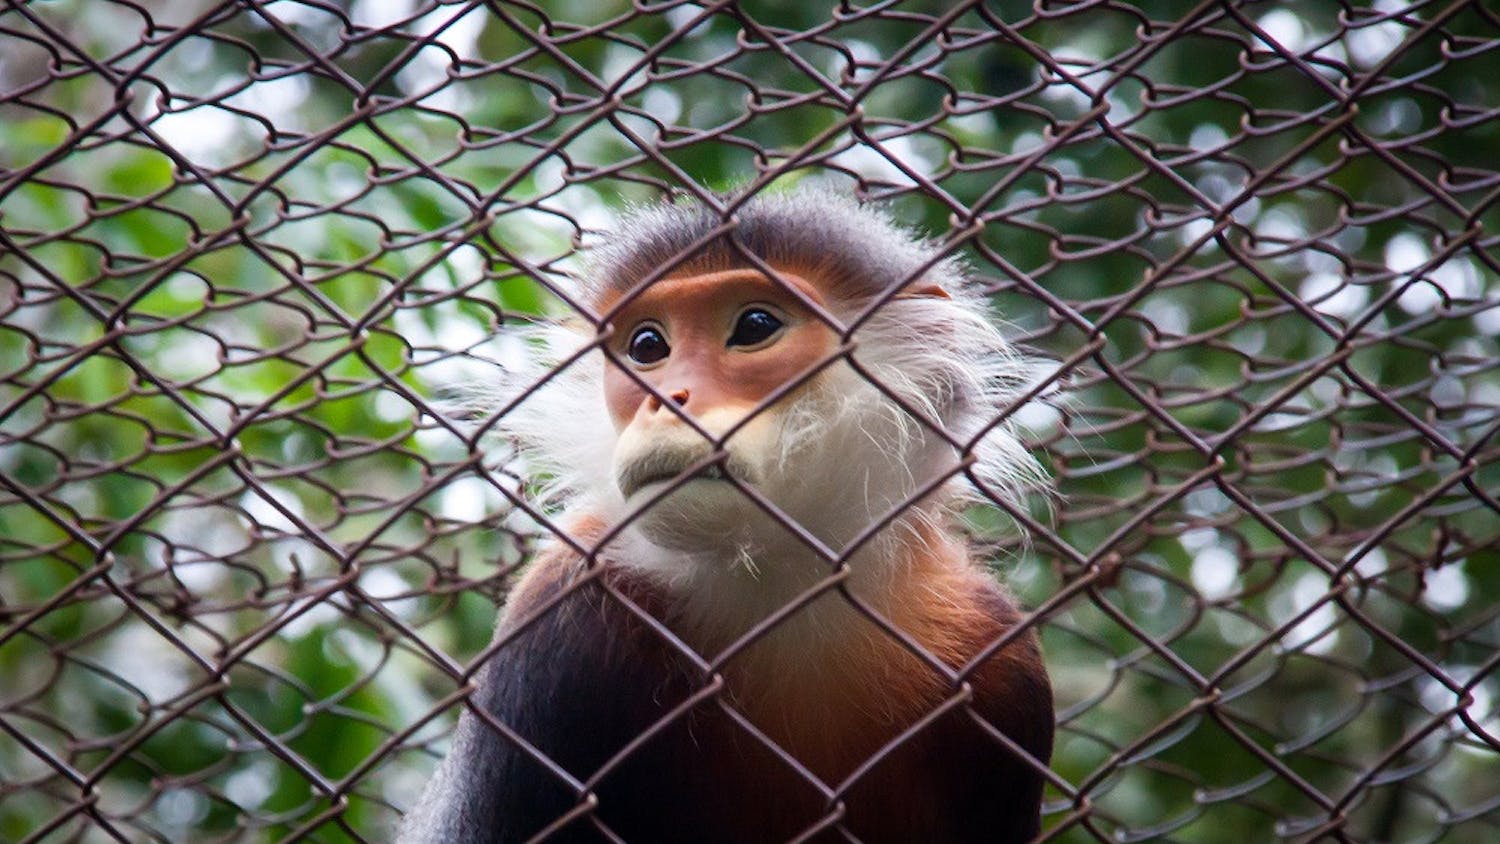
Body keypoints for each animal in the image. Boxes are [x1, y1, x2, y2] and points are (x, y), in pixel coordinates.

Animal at [399, 187, 1054, 844]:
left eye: (755, 326)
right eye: (647, 347)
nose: (667, 401)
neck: (784, 587)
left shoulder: (999, 652)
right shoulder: (562, 603)